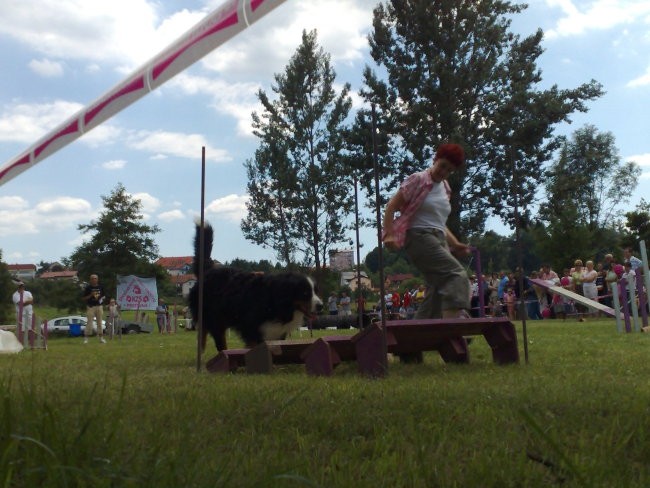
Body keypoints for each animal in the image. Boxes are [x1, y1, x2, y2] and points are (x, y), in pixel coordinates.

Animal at [187, 221, 322, 350]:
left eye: (316, 291)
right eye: (305, 293)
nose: (321, 306)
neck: (275, 300)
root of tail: (209, 269)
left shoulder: (277, 333)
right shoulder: (251, 329)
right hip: (214, 317)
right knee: (213, 338)